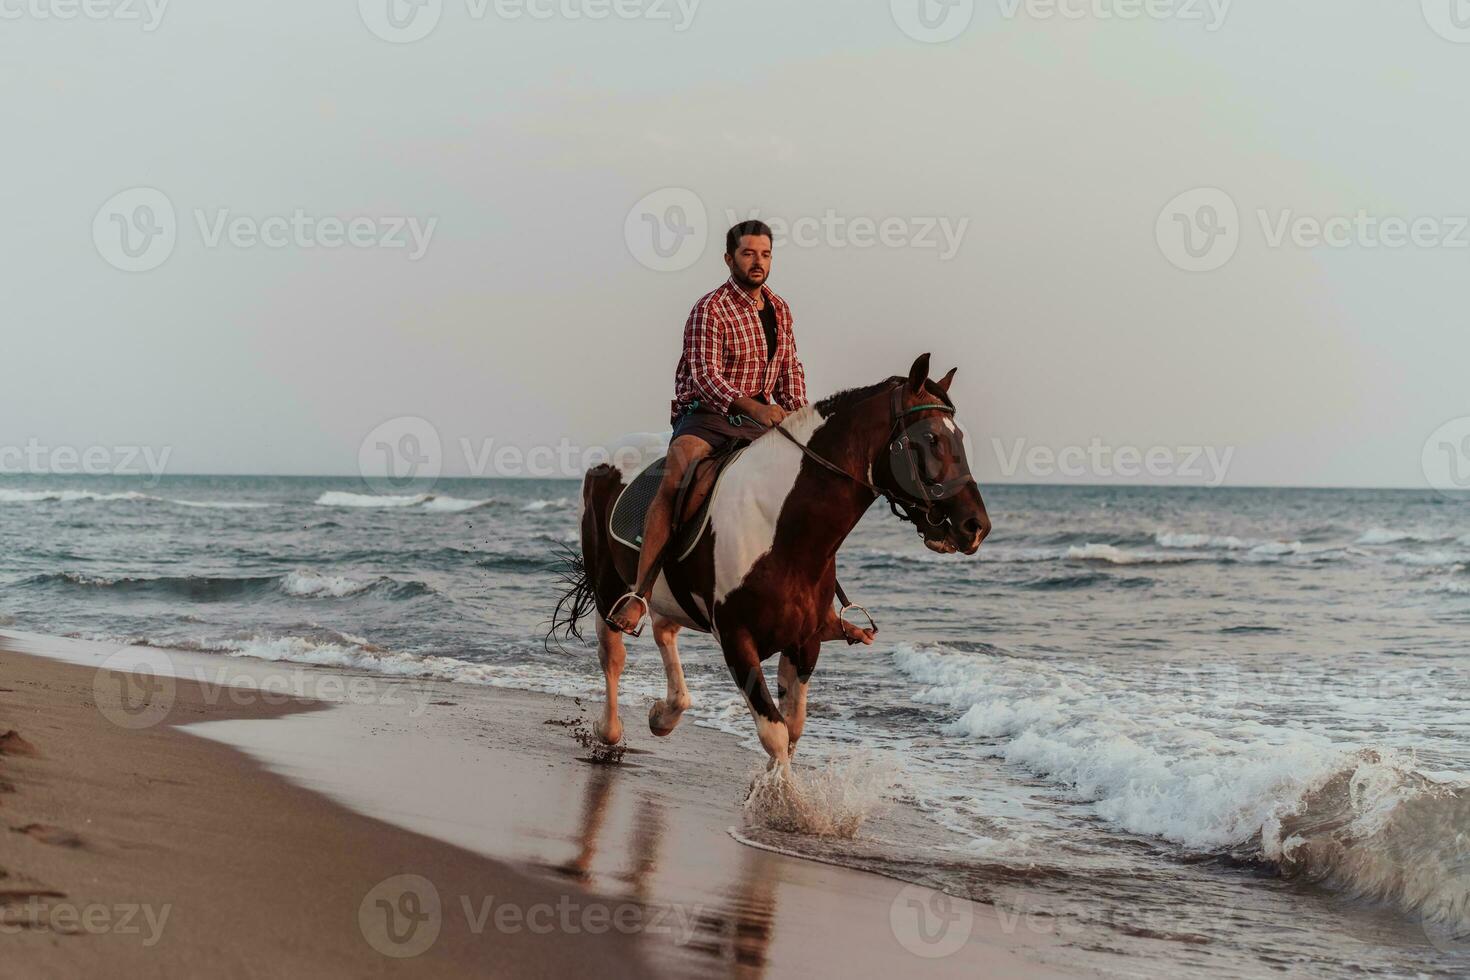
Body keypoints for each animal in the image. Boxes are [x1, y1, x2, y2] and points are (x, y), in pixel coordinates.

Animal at [552, 357, 999, 769]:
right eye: (930, 438)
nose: (975, 526)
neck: (783, 529)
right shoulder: (738, 642)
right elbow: (776, 733)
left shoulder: (804, 643)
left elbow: (794, 727)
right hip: (609, 585)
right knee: (613, 654)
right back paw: (610, 731)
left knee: (665, 630)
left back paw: (666, 714)